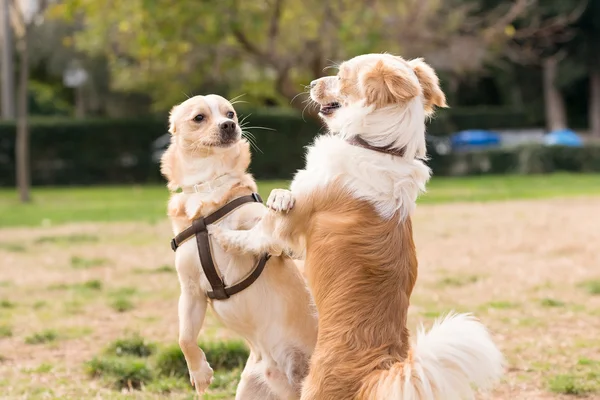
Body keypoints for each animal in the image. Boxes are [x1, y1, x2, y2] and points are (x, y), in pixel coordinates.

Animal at [162, 94, 316, 400]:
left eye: (230, 113)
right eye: (199, 118)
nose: (229, 125)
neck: (208, 185)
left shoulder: (271, 236)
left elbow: (265, 223)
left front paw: (281, 196)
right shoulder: (191, 292)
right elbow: (185, 338)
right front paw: (200, 373)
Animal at [210, 54, 502, 400]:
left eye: (342, 75)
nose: (311, 84)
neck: (377, 147)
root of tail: (378, 370)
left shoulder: (281, 228)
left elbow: (250, 236)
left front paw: (219, 234)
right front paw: (276, 196)